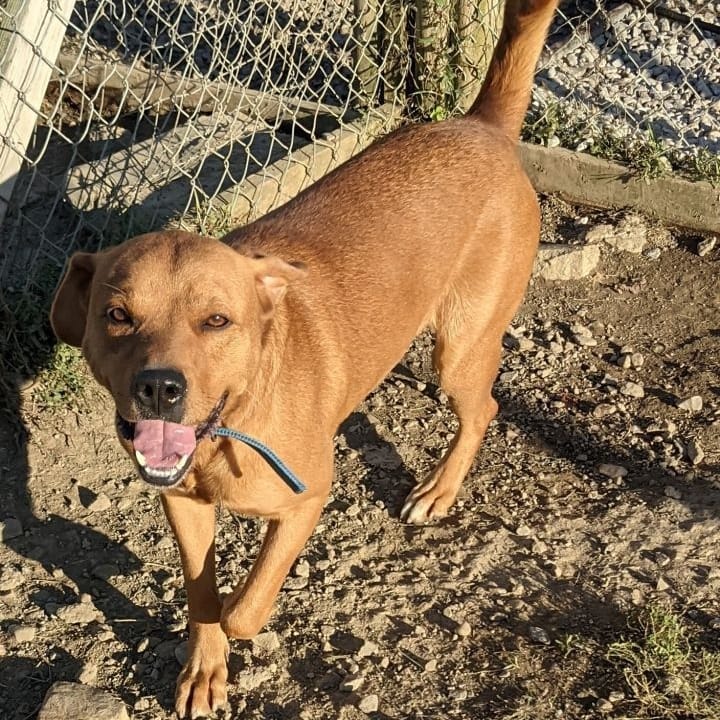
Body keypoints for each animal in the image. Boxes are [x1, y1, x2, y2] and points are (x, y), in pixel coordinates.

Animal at [50, 1, 556, 716]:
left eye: (217, 321)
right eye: (117, 315)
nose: (158, 390)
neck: (231, 425)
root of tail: (480, 125)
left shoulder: (307, 498)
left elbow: (243, 606)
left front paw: (236, 618)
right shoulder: (182, 500)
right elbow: (202, 592)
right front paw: (203, 669)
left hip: (460, 346)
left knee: (482, 406)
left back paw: (439, 489)